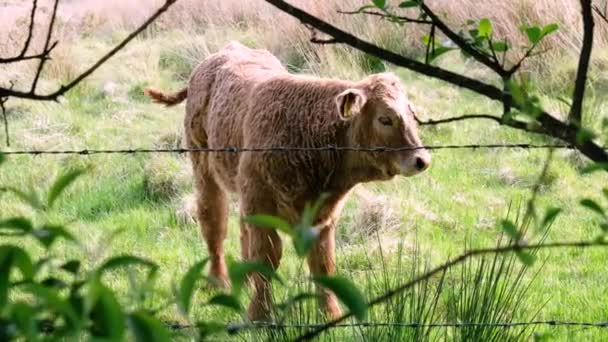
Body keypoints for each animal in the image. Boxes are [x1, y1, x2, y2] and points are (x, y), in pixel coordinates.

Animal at [144, 42, 430, 320]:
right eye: (385, 118)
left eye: (412, 115)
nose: (421, 160)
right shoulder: (260, 204)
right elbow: (267, 258)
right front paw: (259, 315)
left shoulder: (322, 218)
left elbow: (323, 263)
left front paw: (331, 314)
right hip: (205, 170)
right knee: (213, 224)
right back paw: (219, 281)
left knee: (241, 230)